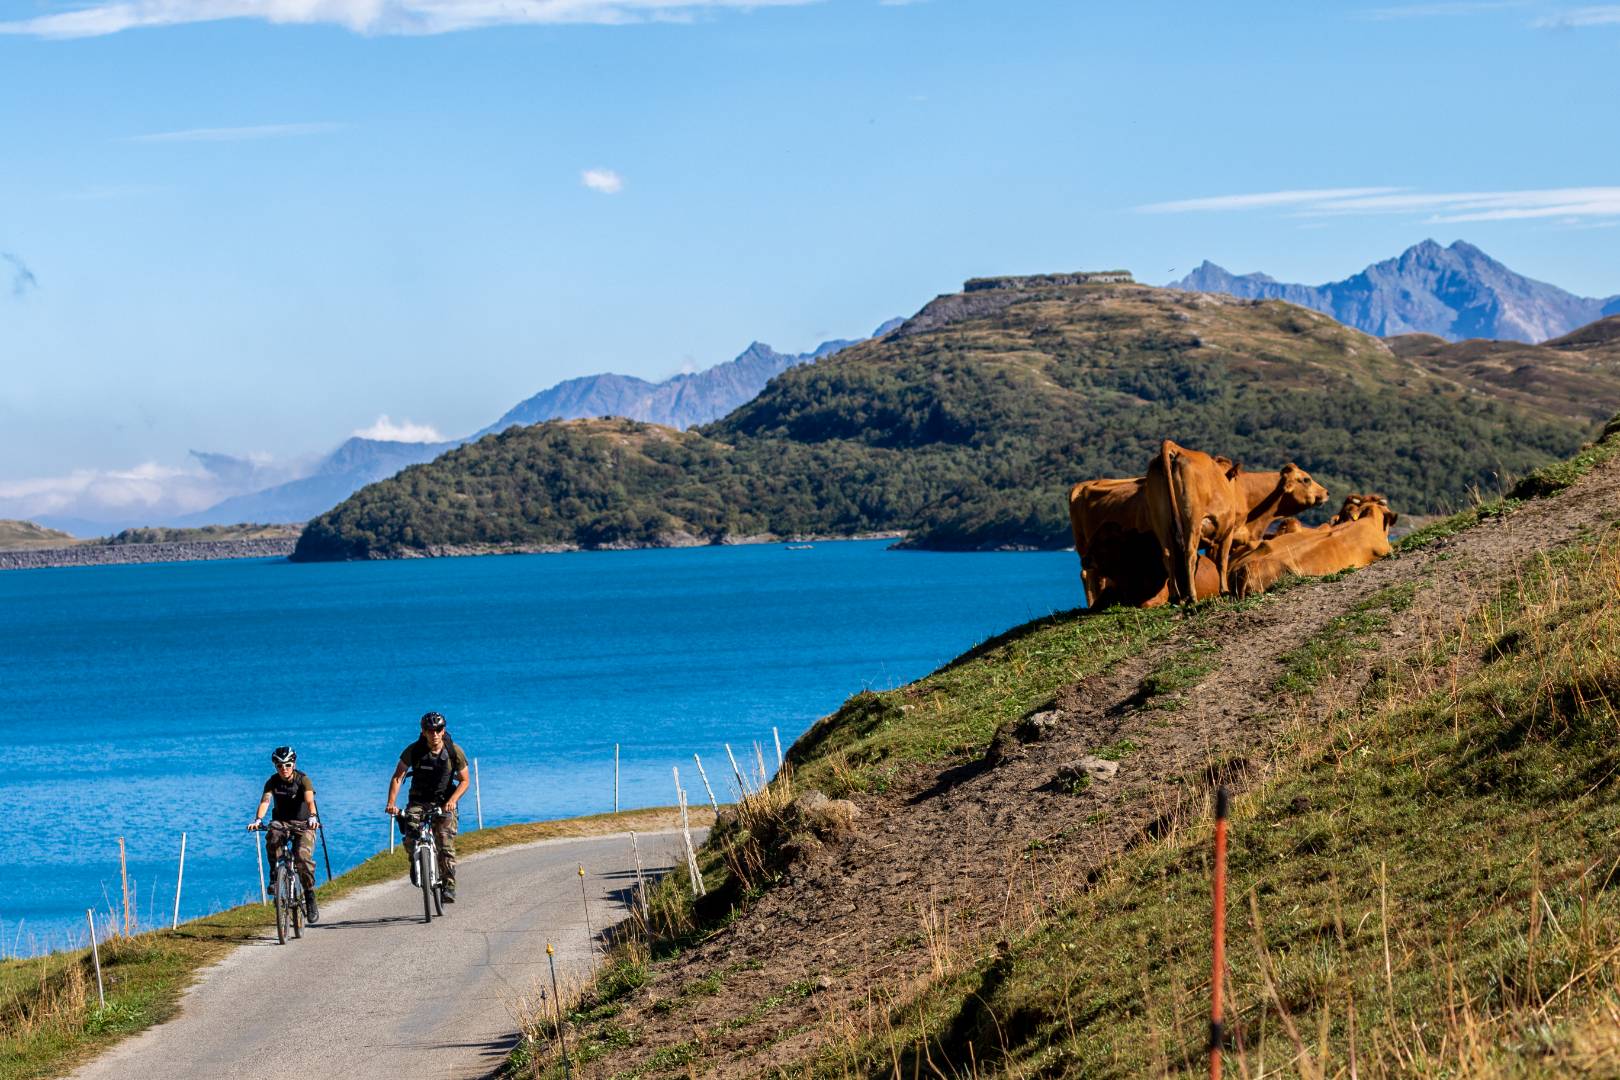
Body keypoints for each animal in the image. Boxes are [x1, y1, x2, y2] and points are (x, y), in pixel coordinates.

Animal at [1146, 440, 1244, 608]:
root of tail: (1175, 448)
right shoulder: (1228, 532)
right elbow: (1222, 561)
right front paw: (1225, 591)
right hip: (1192, 519)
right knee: (1189, 554)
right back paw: (1192, 597)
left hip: (1160, 520)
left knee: (1168, 555)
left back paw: (1176, 596)